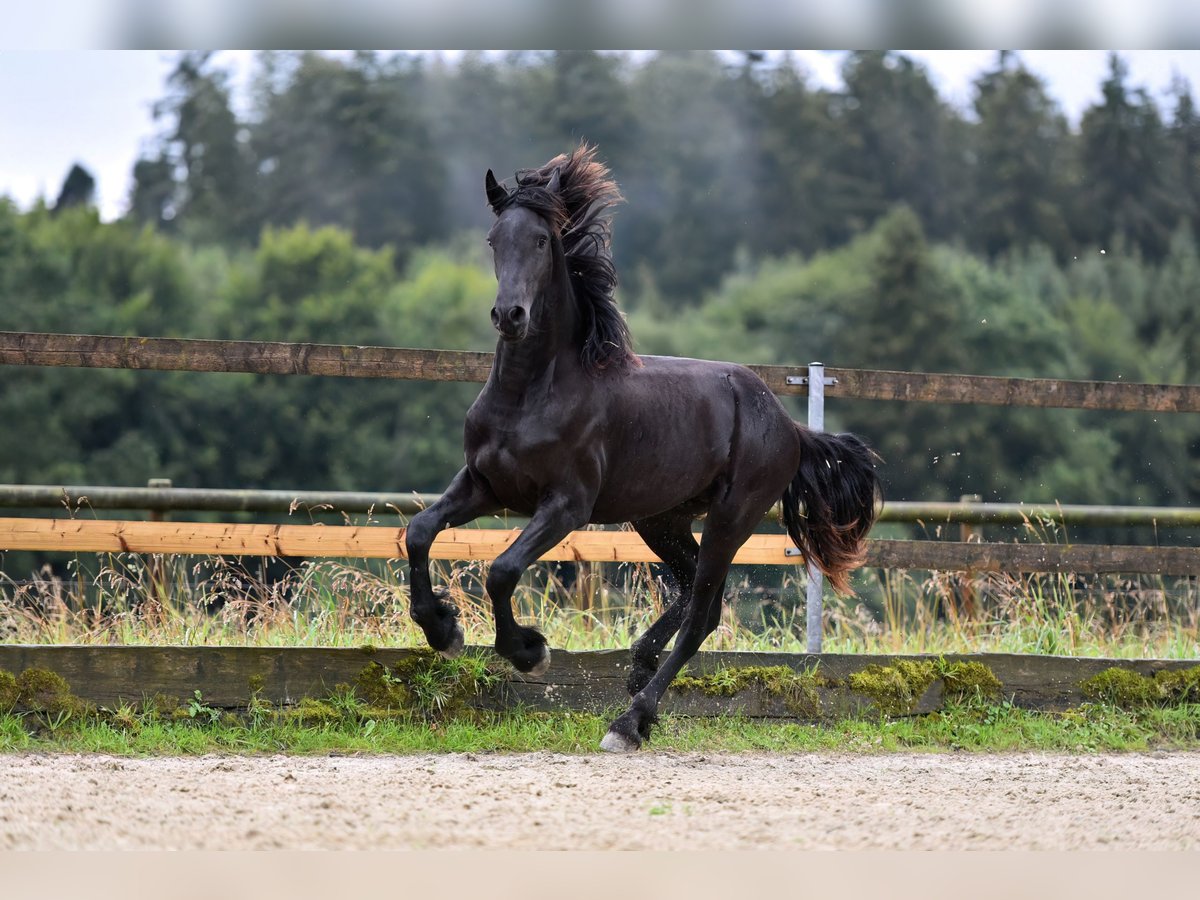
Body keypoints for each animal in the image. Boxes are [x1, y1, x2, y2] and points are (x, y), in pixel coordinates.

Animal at [405, 146, 883, 753]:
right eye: (494, 239)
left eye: (540, 241)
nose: (509, 315)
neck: (530, 393)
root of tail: (788, 426)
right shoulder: (485, 485)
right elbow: (419, 531)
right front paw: (442, 630)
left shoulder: (567, 505)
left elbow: (503, 570)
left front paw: (530, 652)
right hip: (661, 519)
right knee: (693, 592)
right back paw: (637, 666)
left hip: (732, 518)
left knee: (703, 612)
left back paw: (629, 721)